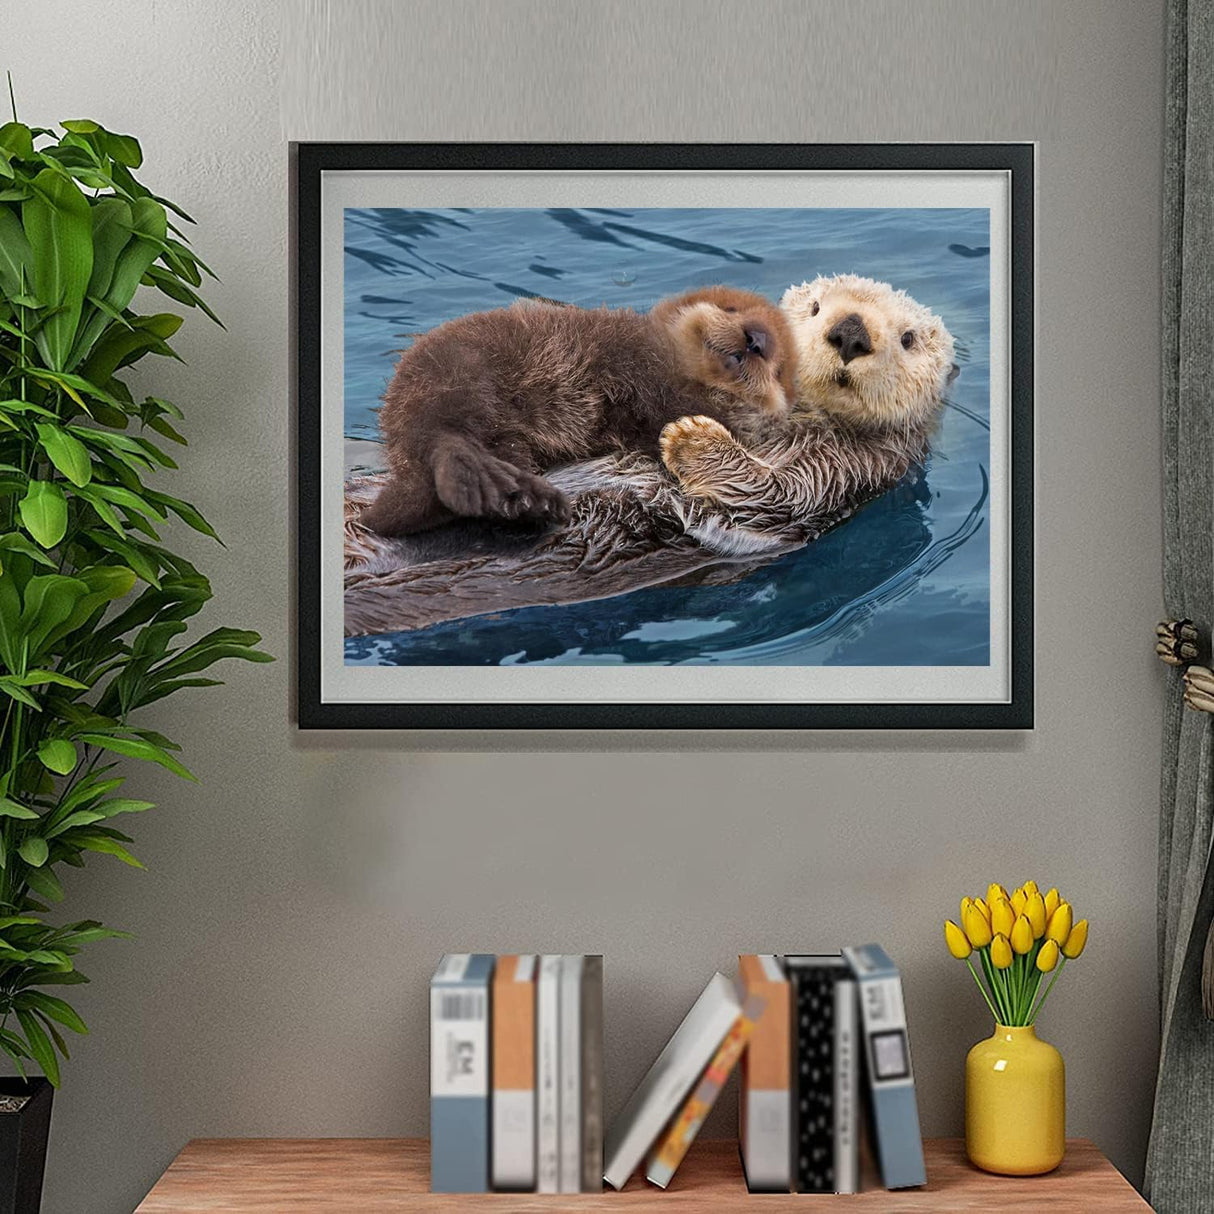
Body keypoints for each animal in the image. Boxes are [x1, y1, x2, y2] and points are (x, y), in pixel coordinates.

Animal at [360, 285, 796, 536]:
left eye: (778, 369)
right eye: (731, 308)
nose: (756, 339)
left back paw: (521, 498)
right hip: (456, 373)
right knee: (445, 437)